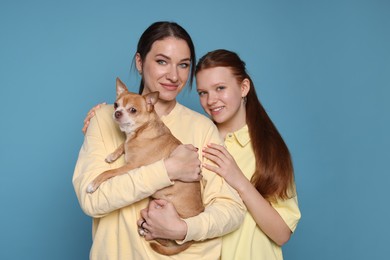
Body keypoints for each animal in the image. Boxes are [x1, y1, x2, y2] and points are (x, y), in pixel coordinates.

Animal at [86, 77, 204, 256]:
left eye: (133, 110)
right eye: (116, 104)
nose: (117, 112)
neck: (140, 131)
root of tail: (191, 238)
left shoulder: (131, 166)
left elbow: (108, 172)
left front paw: (93, 184)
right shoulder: (128, 146)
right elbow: (123, 145)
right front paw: (113, 154)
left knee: (166, 240)